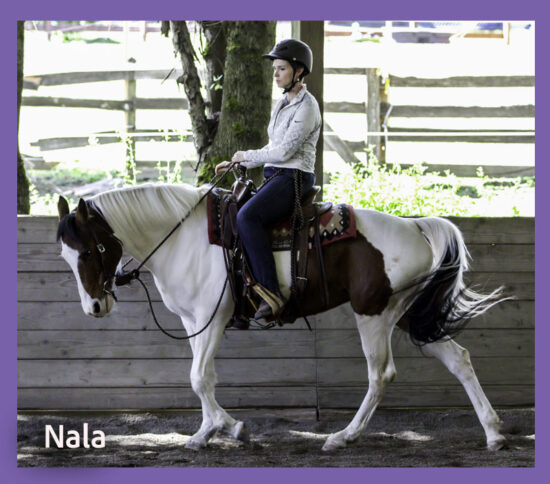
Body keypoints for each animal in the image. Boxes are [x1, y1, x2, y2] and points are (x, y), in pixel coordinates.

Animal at [56, 182, 507, 452]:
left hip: (374, 315)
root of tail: (415, 227)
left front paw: (232, 427)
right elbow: (203, 378)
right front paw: (204, 433)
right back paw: (493, 432)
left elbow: (199, 378)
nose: (94, 307)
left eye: (90, 251)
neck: (182, 237)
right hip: (409, 312)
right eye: (65, 255)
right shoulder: (193, 322)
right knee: (459, 359)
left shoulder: (213, 317)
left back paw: (342, 437)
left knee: (381, 375)